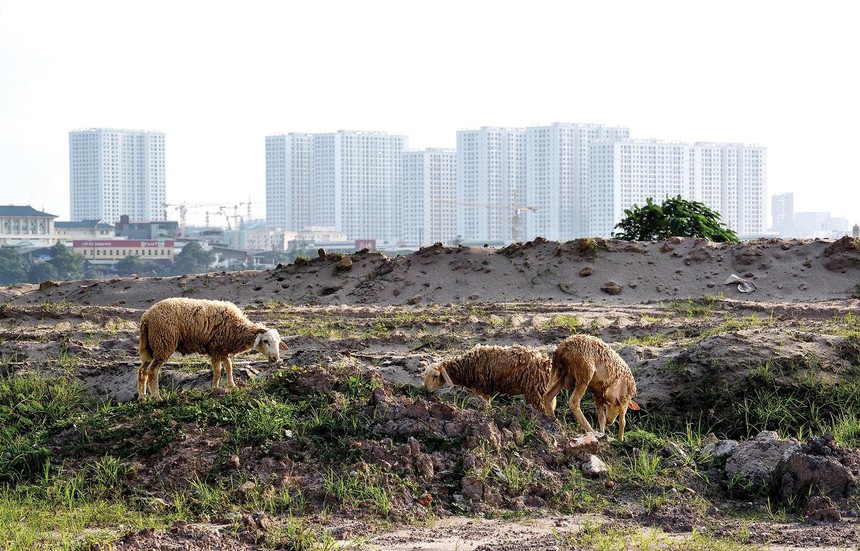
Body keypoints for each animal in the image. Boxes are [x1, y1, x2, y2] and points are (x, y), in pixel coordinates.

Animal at [136, 298, 288, 402]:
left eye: (278, 342)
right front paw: (215, 388)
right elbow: (218, 371)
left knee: (142, 371)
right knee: (152, 371)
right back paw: (157, 397)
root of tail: (146, 317)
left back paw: (142, 398)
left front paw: (232, 385)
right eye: (266, 341)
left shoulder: (223, 349)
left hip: (150, 348)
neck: (237, 328)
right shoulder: (215, 348)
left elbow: (229, 367)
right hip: (163, 342)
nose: (276, 358)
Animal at [420, 344, 556, 414]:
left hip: (536, 390)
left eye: (435, 376)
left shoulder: (485, 388)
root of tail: (545, 362)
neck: (465, 366)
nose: (426, 391)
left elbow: (487, 404)